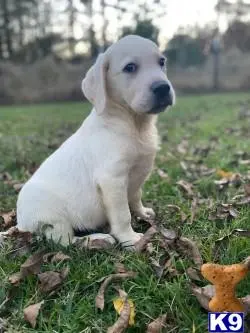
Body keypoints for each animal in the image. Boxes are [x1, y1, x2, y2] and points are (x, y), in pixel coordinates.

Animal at [16, 35, 176, 246]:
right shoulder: (112, 180)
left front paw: (143, 213)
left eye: (161, 62)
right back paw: (97, 239)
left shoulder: (137, 176)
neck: (134, 124)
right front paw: (129, 238)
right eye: (130, 67)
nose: (163, 87)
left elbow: (135, 197)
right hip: (53, 217)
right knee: (65, 241)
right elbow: (123, 214)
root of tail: (20, 224)